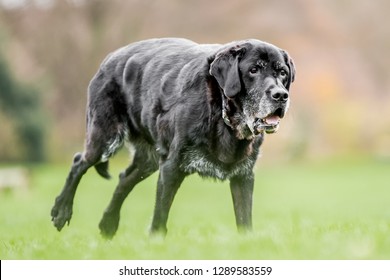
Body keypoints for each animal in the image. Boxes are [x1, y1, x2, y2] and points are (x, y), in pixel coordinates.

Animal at [51, 37, 296, 238]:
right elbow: (160, 216)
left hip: (148, 160)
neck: (221, 111)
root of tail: (110, 57)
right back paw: (61, 211)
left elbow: (244, 221)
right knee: (79, 162)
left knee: (124, 179)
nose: (281, 95)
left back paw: (108, 224)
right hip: (105, 138)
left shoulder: (243, 175)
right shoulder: (171, 167)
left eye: (282, 72)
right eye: (253, 70)